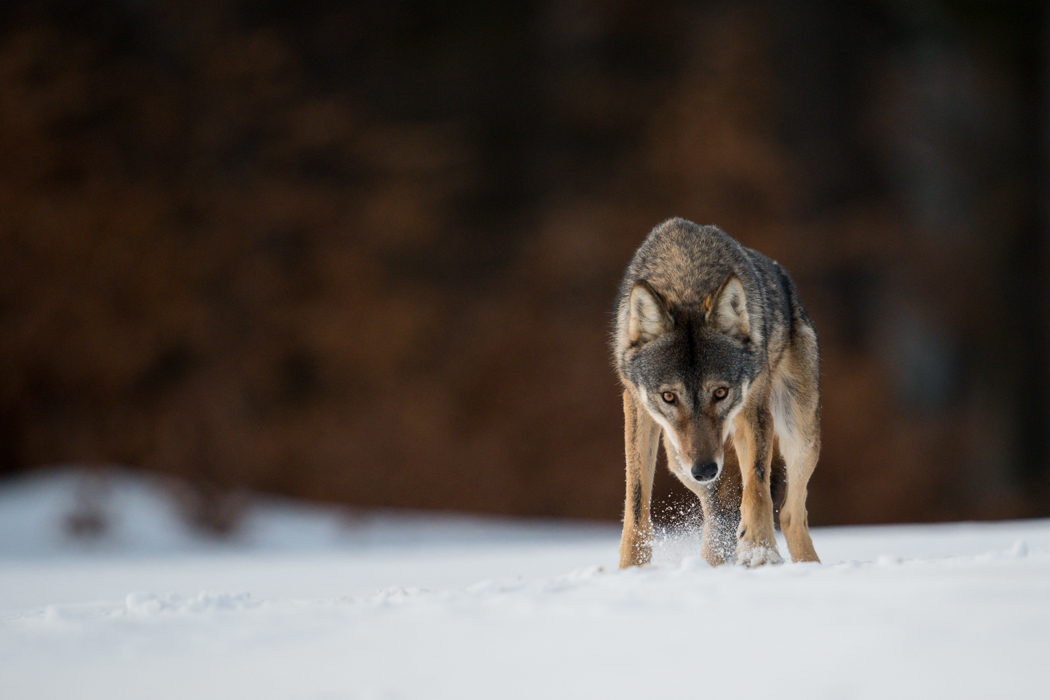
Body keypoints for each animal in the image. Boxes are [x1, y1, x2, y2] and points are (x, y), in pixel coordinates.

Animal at [613, 217, 823, 570]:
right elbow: (637, 503)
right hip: (678, 458)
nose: (705, 470)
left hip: (799, 435)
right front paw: (632, 570)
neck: (686, 279)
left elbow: (757, 487)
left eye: (721, 392)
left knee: (790, 514)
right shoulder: (637, 408)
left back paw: (808, 567)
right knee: (718, 512)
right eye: (669, 397)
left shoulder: (754, 409)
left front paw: (759, 552)